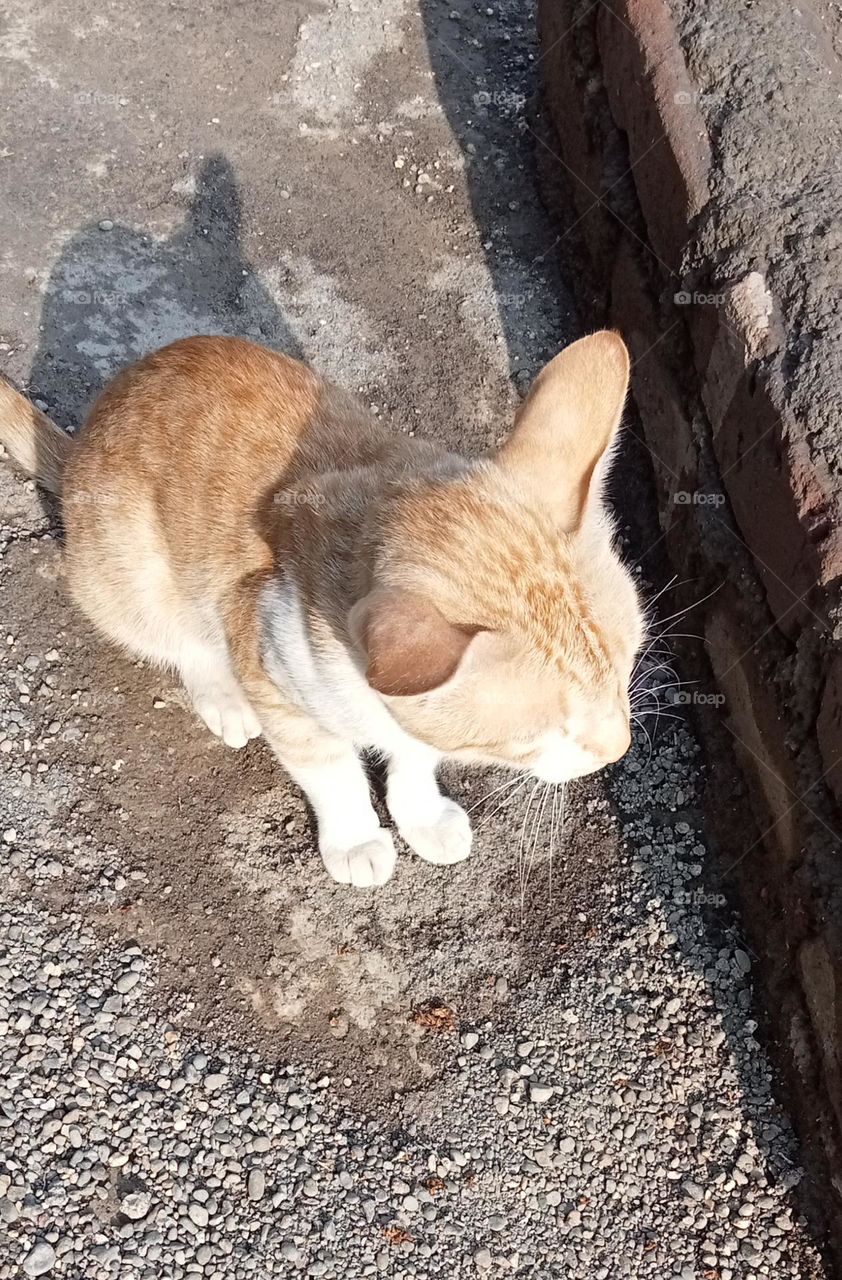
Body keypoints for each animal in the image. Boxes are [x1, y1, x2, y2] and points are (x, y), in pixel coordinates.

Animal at [1, 330, 642, 885]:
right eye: (550, 729)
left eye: (626, 671)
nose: (619, 749)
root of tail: (83, 441)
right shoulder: (272, 669)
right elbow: (331, 773)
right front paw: (356, 838)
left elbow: (417, 753)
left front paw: (421, 813)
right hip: (127, 573)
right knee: (181, 641)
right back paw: (222, 696)